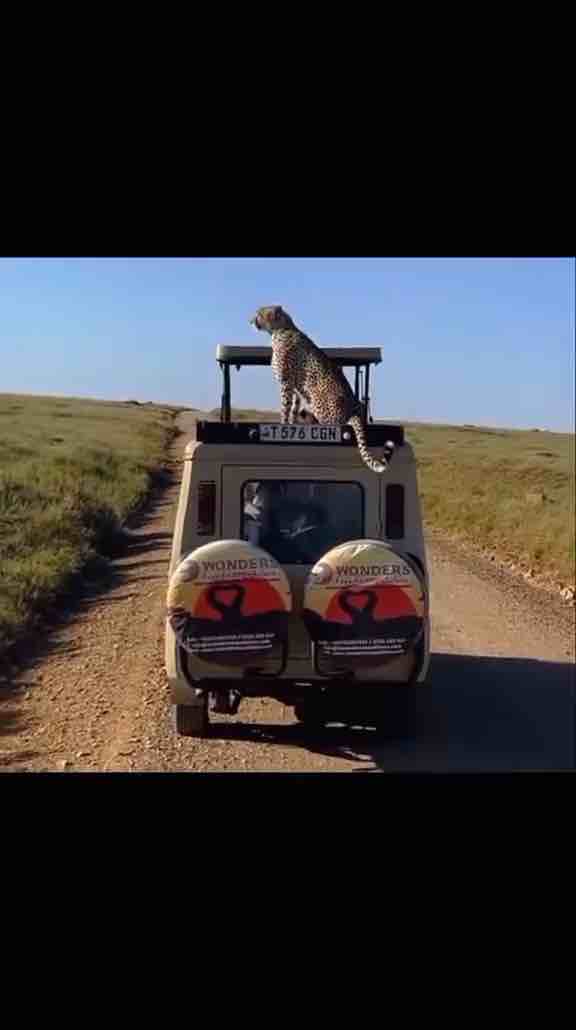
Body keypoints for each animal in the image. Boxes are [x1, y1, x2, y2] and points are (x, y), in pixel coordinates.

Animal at [250, 305, 394, 474]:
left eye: (259, 314)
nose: (251, 321)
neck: (280, 329)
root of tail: (353, 411)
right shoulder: (296, 388)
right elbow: (293, 408)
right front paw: (292, 424)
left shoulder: (286, 382)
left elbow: (285, 407)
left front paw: (282, 424)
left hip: (318, 398)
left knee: (332, 424)